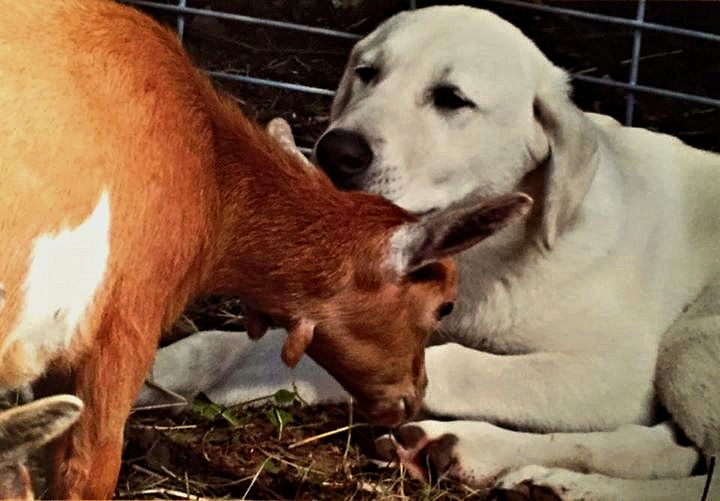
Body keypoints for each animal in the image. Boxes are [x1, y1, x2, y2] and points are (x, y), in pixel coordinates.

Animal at [138, 5, 716, 498]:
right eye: (367, 73)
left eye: (451, 98)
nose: (335, 151)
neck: (491, 255)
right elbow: (222, 344)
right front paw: (173, 369)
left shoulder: (612, 373)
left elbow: (446, 361)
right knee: (674, 451)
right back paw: (472, 455)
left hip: (686, 345)